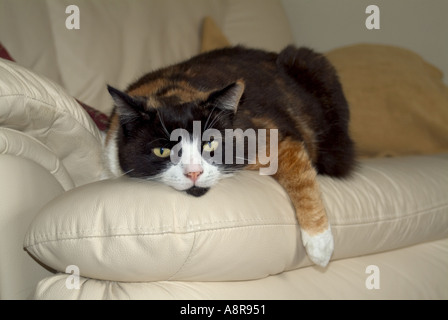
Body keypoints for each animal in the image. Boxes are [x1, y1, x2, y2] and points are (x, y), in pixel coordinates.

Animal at [103, 43, 356, 266]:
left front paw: (320, 244)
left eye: (210, 143)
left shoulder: (271, 135)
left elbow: (300, 177)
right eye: (162, 150)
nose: (194, 172)